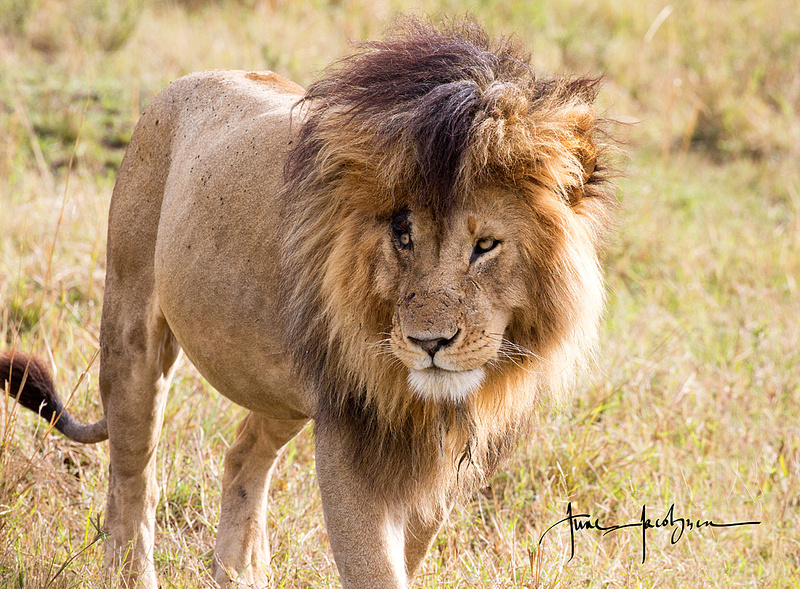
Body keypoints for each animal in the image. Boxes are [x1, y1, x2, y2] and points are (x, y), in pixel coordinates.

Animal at [0, 17, 616, 588]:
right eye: (403, 234)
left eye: (485, 245)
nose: (429, 343)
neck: (427, 404)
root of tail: (185, 82)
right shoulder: (350, 436)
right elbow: (376, 569)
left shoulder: (441, 460)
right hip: (131, 330)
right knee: (133, 475)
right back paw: (133, 572)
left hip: (282, 387)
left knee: (244, 455)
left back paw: (239, 574)